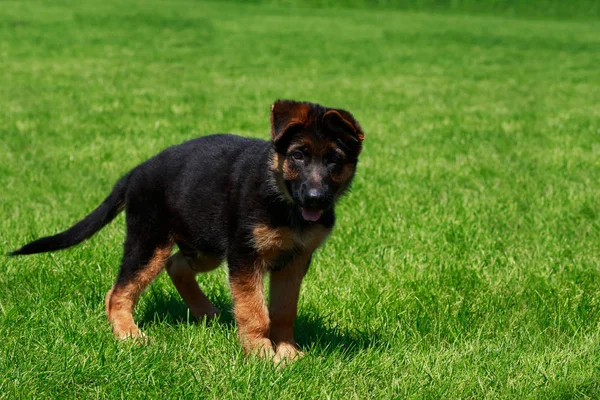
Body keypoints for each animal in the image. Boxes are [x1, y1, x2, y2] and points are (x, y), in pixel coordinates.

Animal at [10, 100, 366, 362]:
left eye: (334, 160)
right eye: (298, 155)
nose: (315, 199)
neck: (280, 195)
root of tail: (134, 172)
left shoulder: (293, 260)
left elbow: (282, 310)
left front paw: (288, 352)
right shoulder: (244, 255)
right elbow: (254, 309)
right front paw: (261, 354)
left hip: (205, 245)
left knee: (175, 264)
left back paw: (205, 312)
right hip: (151, 241)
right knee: (119, 291)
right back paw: (129, 335)